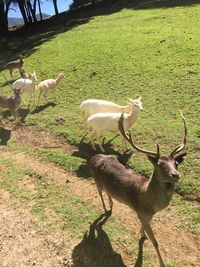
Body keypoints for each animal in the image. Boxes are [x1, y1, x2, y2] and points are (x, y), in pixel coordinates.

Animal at [89, 112, 188, 266]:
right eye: (160, 165)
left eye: (176, 163)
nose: (175, 175)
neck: (150, 204)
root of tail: (94, 156)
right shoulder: (141, 212)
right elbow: (155, 242)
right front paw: (161, 262)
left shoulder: (146, 216)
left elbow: (144, 229)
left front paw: (142, 234)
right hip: (96, 179)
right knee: (99, 193)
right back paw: (105, 210)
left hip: (106, 184)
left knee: (108, 192)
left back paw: (111, 206)